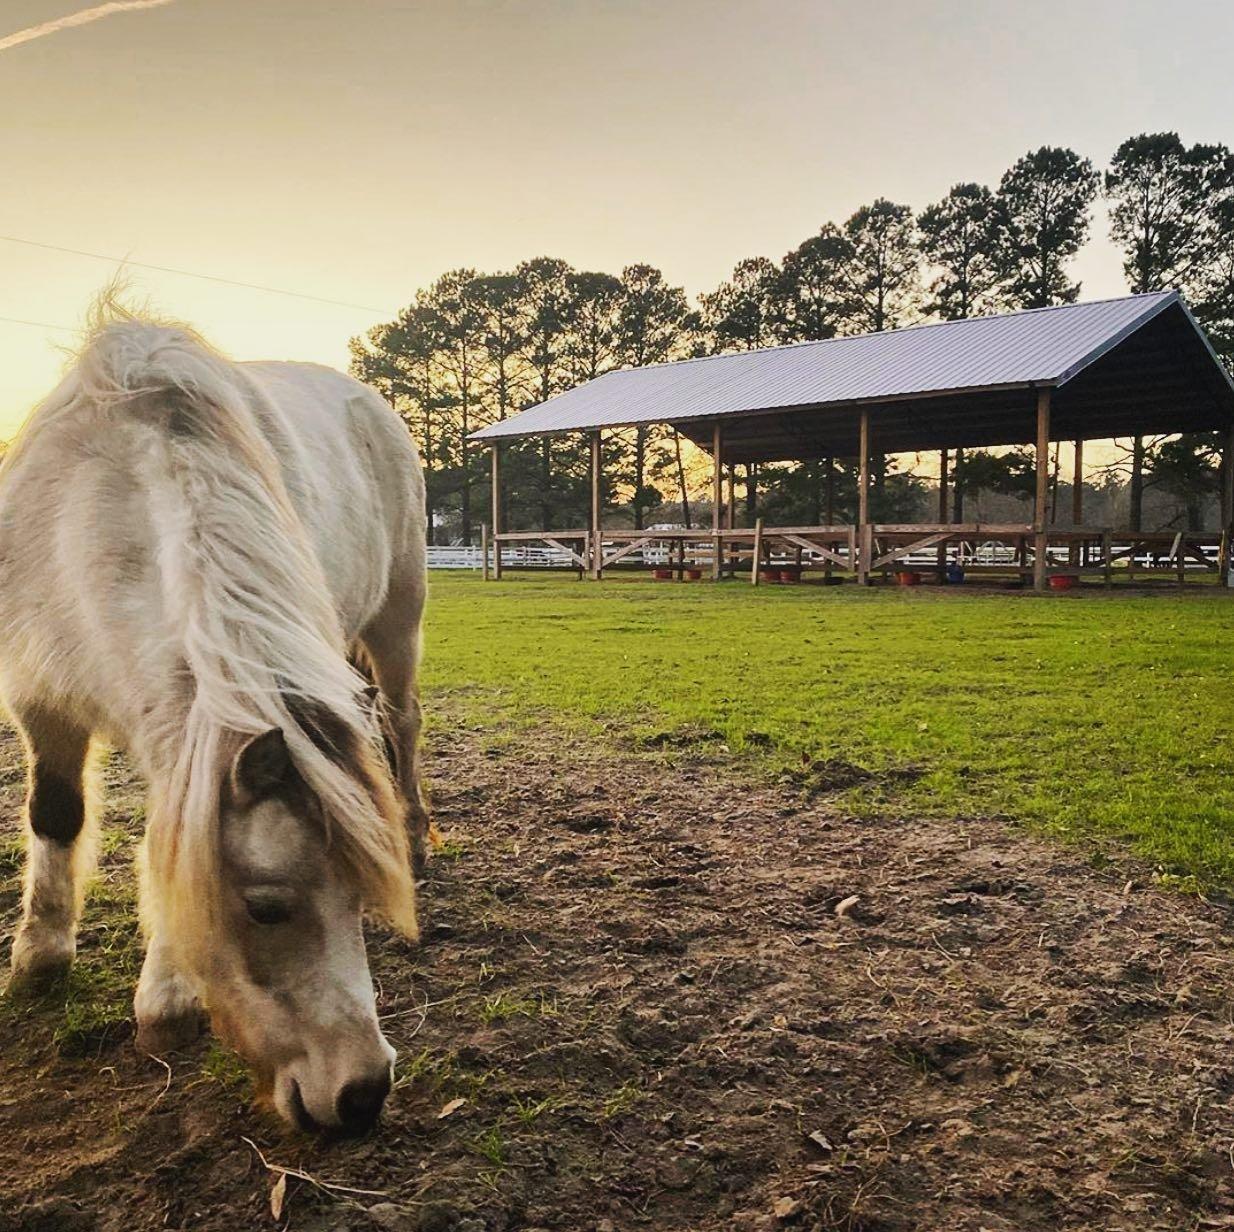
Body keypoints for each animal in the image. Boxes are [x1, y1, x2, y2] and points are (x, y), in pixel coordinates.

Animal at [0, 311, 429, 1135]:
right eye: (266, 907)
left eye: (362, 900)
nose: (363, 1095)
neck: (90, 512)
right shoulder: (42, 695)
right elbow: (56, 814)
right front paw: (39, 955)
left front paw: (165, 996)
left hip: (397, 623)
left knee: (403, 723)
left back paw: (419, 832)